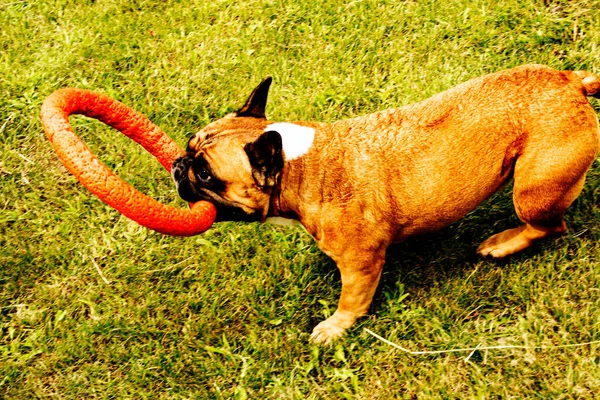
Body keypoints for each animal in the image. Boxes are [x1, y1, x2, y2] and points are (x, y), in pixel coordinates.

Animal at [171, 65, 600, 344]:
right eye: (190, 145)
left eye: (206, 174)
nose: (178, 165)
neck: (298, 168)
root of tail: (571, 82)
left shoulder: (361, 264)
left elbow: (351, 300)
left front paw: (335, 327)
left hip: (533, 190)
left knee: (548, 226)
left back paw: (502, 243)